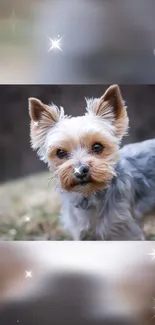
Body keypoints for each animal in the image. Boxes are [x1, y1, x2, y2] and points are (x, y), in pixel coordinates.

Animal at [28, 85, 155, 239]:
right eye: (60, 152)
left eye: (97, 147)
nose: (80, 171)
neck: (89, 195)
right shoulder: (82, 233)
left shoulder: (125, 230)